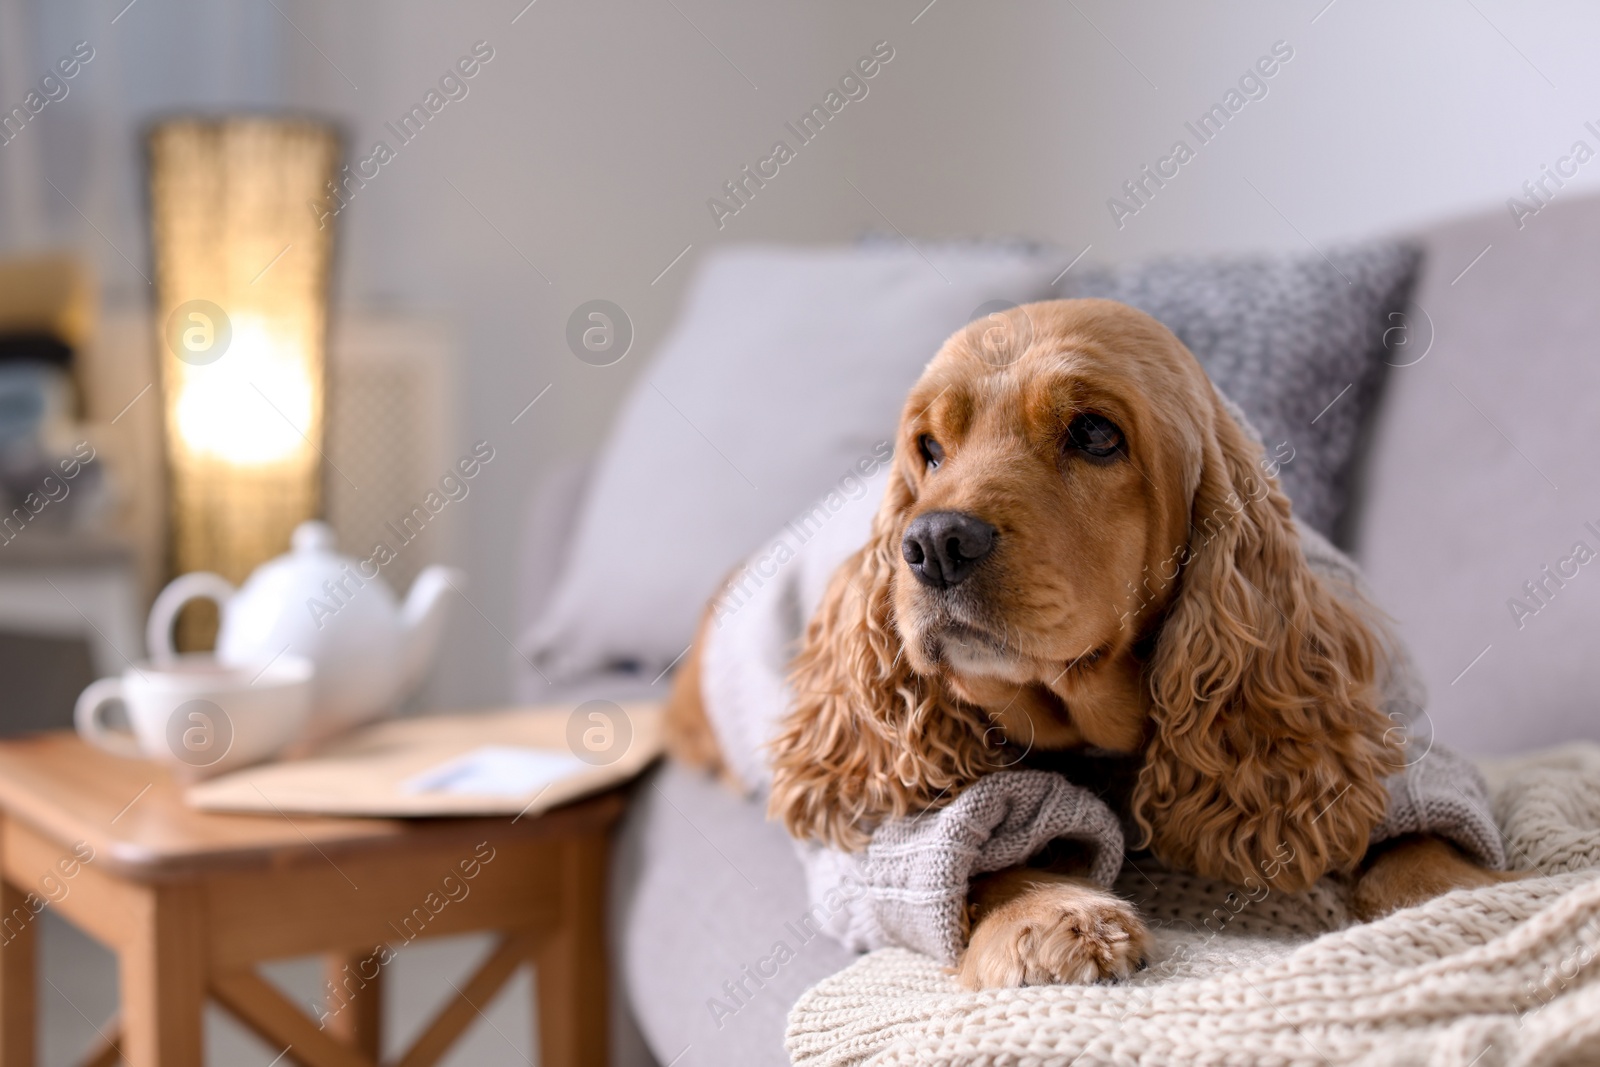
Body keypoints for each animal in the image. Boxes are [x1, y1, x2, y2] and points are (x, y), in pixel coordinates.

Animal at [662, 295, 1510, 991]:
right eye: (929, 448)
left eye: (1096, 433)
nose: (933, 542)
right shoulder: (896, 828)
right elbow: (973, 850)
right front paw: (1046, 917)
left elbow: (1410, 830)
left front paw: (1466, 894)